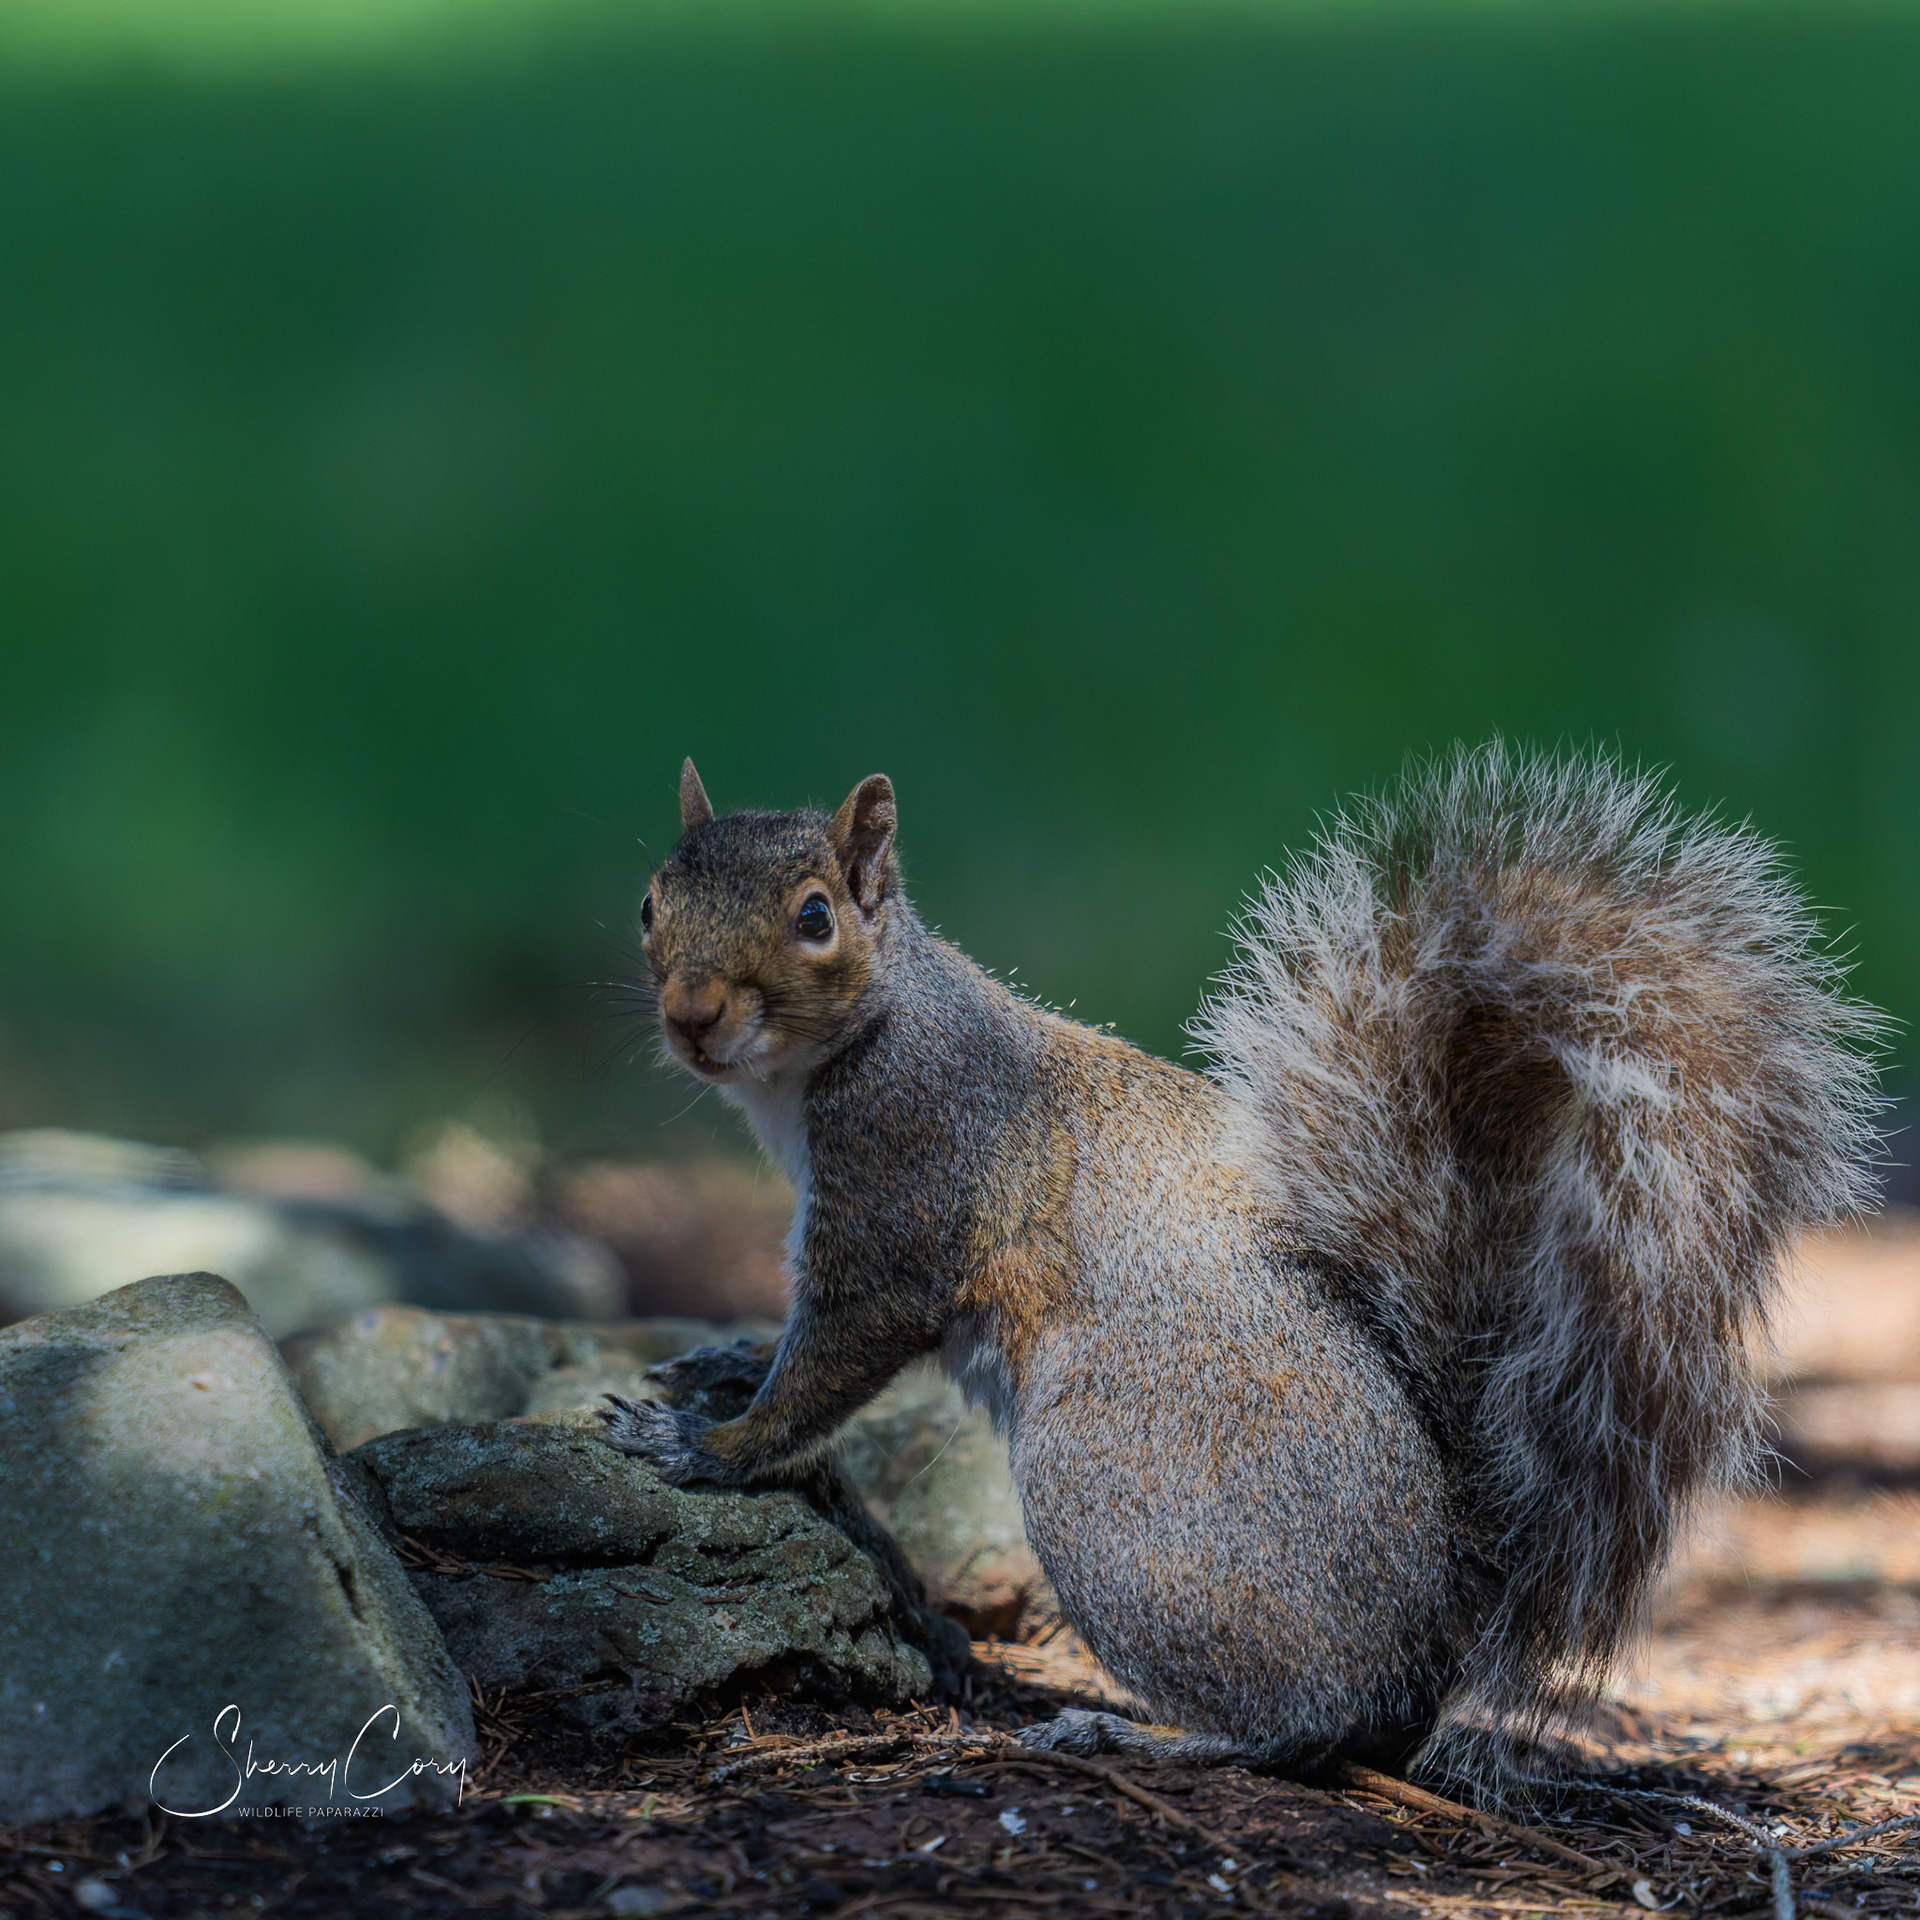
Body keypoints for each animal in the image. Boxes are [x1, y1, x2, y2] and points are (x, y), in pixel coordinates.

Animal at [602, 743, 1882, 1782]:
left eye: (815, 917)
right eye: (652, 902)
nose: (693, 1015)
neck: (826, 1063)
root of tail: (1439, 1614)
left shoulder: (908, 1184)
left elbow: (834, 1358)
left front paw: (711, 1445)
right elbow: (791, 1344)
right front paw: (720, 1365)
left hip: (1109, 1492)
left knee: (1301, 1725)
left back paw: (1141, 1734)